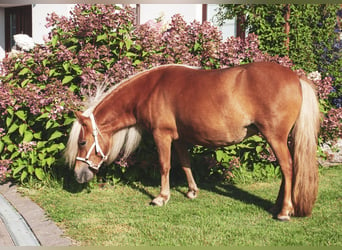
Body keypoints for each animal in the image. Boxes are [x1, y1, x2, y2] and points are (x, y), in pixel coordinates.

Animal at [65, 62, 320, 221]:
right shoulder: (180, 139)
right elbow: (185, 163)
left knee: (288, 168)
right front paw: (192, 192)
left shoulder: (162, 135)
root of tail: (295, 77)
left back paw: (284, 211)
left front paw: (161, 197)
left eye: (82, 143)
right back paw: (277, 206)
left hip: (274, 137)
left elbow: (165, 165)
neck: (151, 88)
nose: (77, 175)